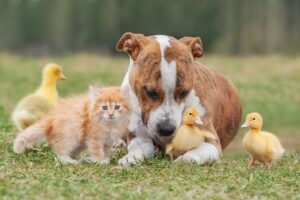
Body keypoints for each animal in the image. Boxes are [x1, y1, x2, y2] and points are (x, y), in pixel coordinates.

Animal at [116, 32, 243, 166]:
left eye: (184, 92)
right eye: (150, 92)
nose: (166, 129)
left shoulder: (211, 143)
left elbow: (194, 153)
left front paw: (185, 159)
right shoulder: (140, 137)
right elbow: (137, 148)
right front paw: (131, 157)